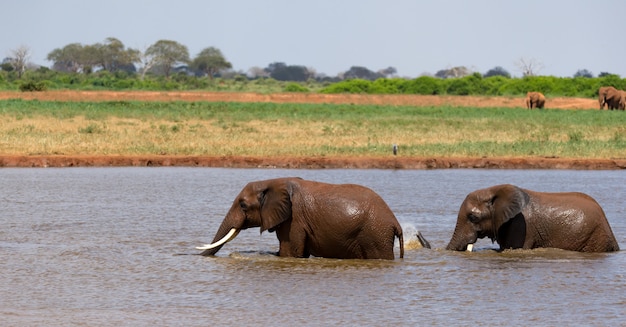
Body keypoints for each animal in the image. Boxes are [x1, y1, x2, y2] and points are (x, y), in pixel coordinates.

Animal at [195, 178, 414, 260]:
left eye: (242, 205)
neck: (273, 182)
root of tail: (395, 223)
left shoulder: (294, 220)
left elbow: (289, 252)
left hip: (375, 235)